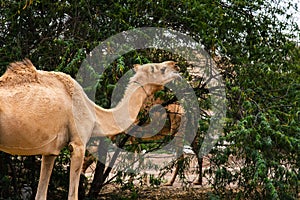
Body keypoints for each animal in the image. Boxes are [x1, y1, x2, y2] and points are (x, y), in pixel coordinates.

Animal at [0, 58, 179, 199]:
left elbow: (41, 194)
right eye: (162, 69)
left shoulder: (50, 152)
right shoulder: (78, 144)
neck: (94, 115)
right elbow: (73, 195)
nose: (176, 66)